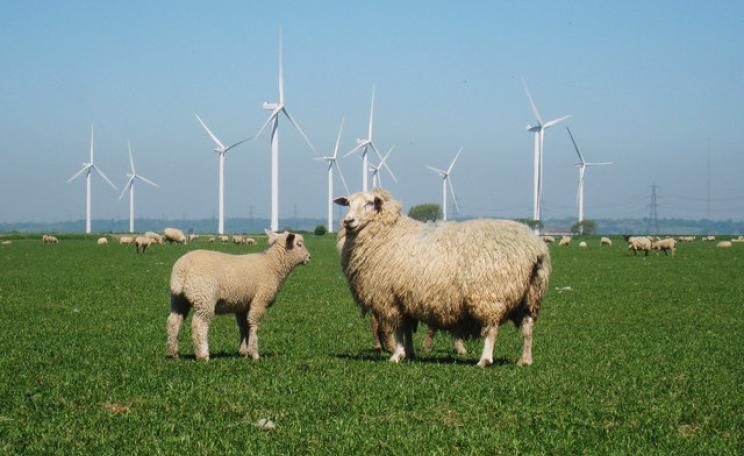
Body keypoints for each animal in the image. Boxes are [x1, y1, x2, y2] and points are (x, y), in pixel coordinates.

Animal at [167, 230, 311, 361]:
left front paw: (244, 352)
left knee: (174, 322)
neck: (272, 265)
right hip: (204, 297)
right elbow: (253, 324)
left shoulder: (243, 304)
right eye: (299, 244)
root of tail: (182, 269)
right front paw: (255, 354)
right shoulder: (259, 300)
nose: (309, 257)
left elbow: (244, 326)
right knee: (199, 324)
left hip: (178, 299)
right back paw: (203, 355)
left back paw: (173, 354)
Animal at [334, 189, 551, 367]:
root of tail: (536, 249)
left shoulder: (390, 298)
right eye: (348, 203)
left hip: (490, 295)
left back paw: (484, 360)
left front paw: (397, 355)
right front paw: (410, 353)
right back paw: (525, 360)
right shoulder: (406, 300)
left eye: (370, 203)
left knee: (491, 329)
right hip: (530, 296)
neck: (388, 233)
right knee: (528, 327)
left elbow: (398, 330)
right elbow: (406, 329)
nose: (348, 221)